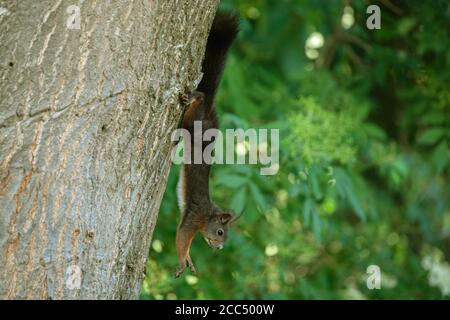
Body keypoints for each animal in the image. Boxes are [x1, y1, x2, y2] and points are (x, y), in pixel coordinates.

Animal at [174, 11, 241, 278]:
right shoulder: (194, 215)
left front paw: (189, 260)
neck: (209, 215)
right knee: (198, 100)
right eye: (221, 232)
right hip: (194, 125)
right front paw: (183, 260)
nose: (220, 248)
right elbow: (182, 238)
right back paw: (194, 96)